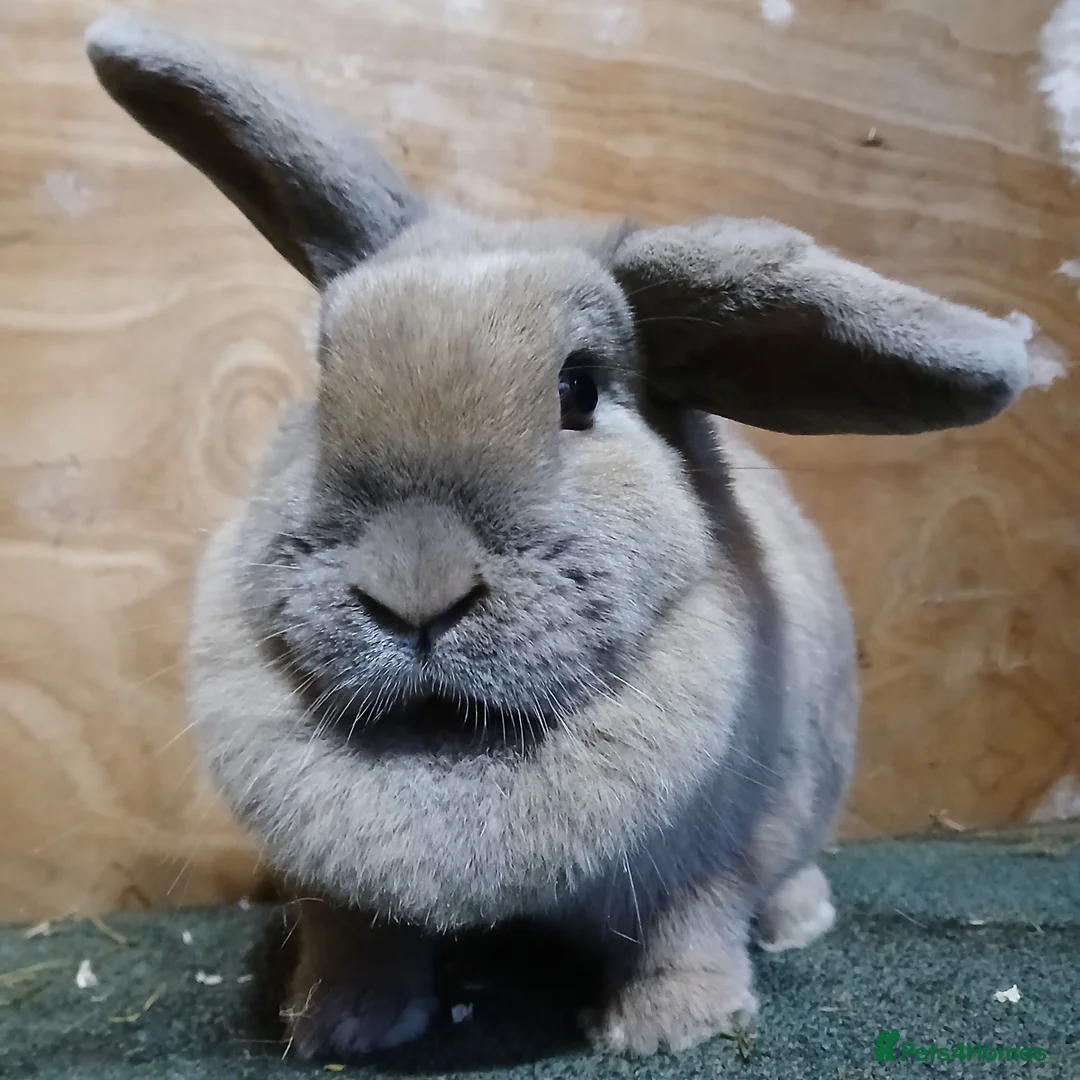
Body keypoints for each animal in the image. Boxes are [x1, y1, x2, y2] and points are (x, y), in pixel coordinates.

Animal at [86, 12, 1034, 1063]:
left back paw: (797, 924)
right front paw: (342, 1027)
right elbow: (358, 939)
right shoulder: (337, 895)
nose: (415, 589)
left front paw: (669, 1030)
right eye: (324, 381)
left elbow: (688, 926)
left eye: (579, 390)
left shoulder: (704, 863)